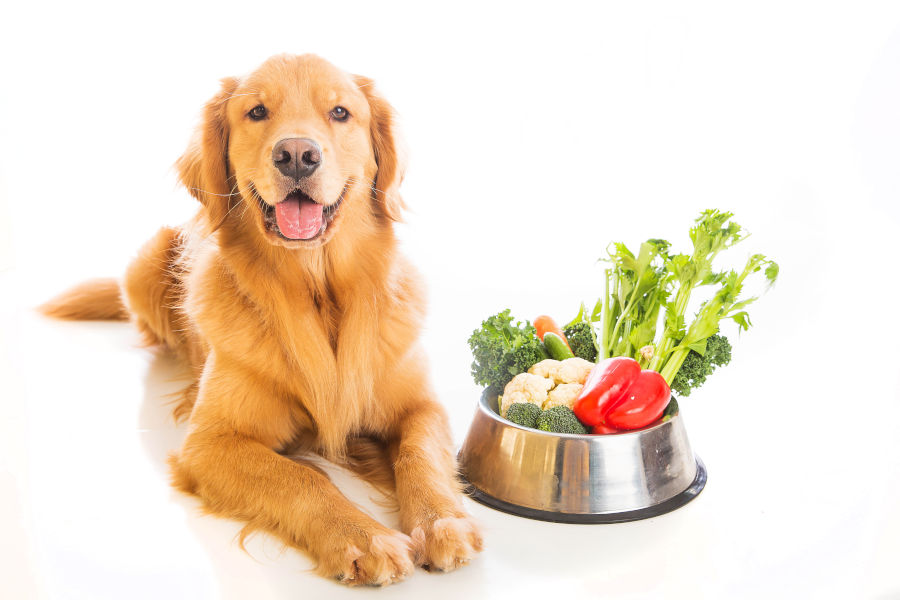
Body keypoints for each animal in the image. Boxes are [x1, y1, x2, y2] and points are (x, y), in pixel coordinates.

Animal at [41, 52, 482, 584]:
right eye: (256, 112)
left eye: (340, 112)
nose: (296, 154)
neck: (317, 292)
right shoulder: (210, 443)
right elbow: (299, 476)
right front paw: (363, 537)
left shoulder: (420, 405)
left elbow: (423, 455)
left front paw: (443, 522)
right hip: (146, 262)